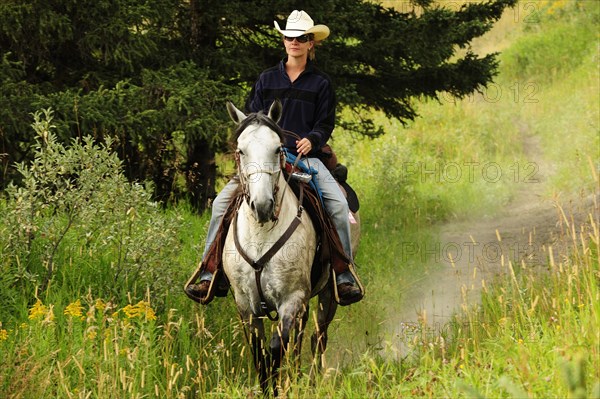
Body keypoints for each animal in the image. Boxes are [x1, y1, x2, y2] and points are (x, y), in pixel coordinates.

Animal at [224, 101, 356, 396]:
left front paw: (281, 387)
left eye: (277, 149)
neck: (261, 235)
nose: (262, 205)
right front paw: (269, 389)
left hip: (328, 293)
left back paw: (310, 380)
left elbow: (277, 348)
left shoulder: (292, 299)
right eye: (241, 150)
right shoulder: (245, 305)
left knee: (316, 338)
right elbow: (260, 355)